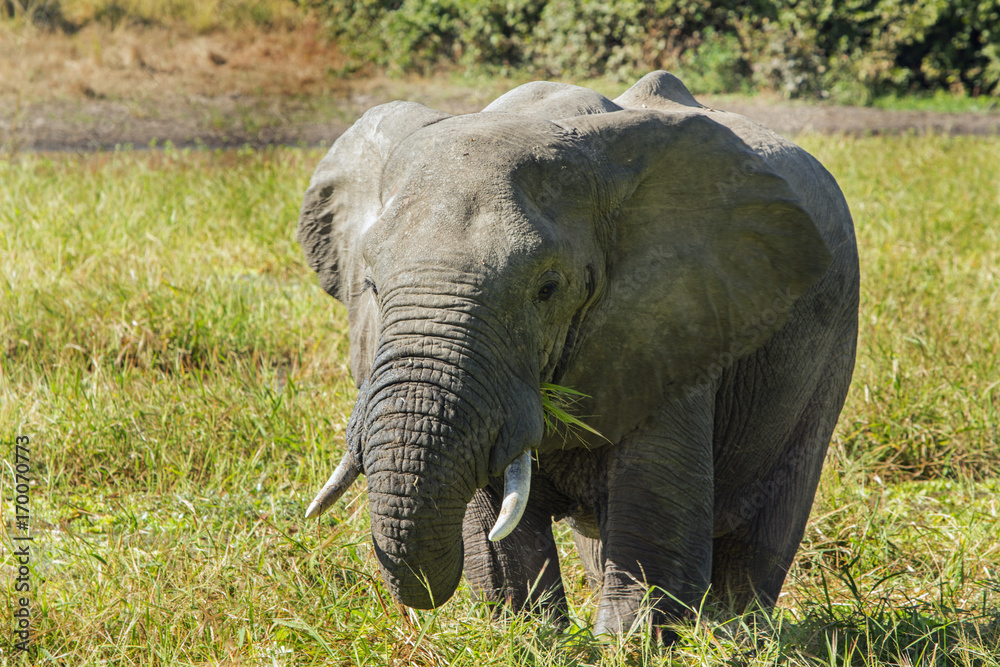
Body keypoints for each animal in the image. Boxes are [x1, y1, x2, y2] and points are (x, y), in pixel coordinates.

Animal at [297, 71, 859, 637]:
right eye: (370, 285)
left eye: (547, 289)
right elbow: (501, 535)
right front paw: (528, 635)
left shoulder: (677, 323)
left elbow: (652, 531)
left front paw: (624, 644)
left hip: (829, 347)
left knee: (767, 528)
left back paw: (739, 636)